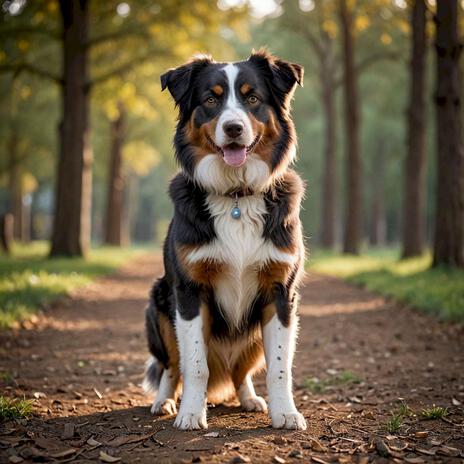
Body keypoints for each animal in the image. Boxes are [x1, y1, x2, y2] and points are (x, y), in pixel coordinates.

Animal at [143, 49, 306, 430]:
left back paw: (249, 398)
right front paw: (190, 413)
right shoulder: (188, 292)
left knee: (240, 372)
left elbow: (280, 368)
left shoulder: (281, 293)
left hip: (253, 337)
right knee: (172, 367)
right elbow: (195, 366)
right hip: (159, 306)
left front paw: (285, 413)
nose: (234, 128)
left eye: (252, 98)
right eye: (211, 99)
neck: (235, 196)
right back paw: (165, 401)